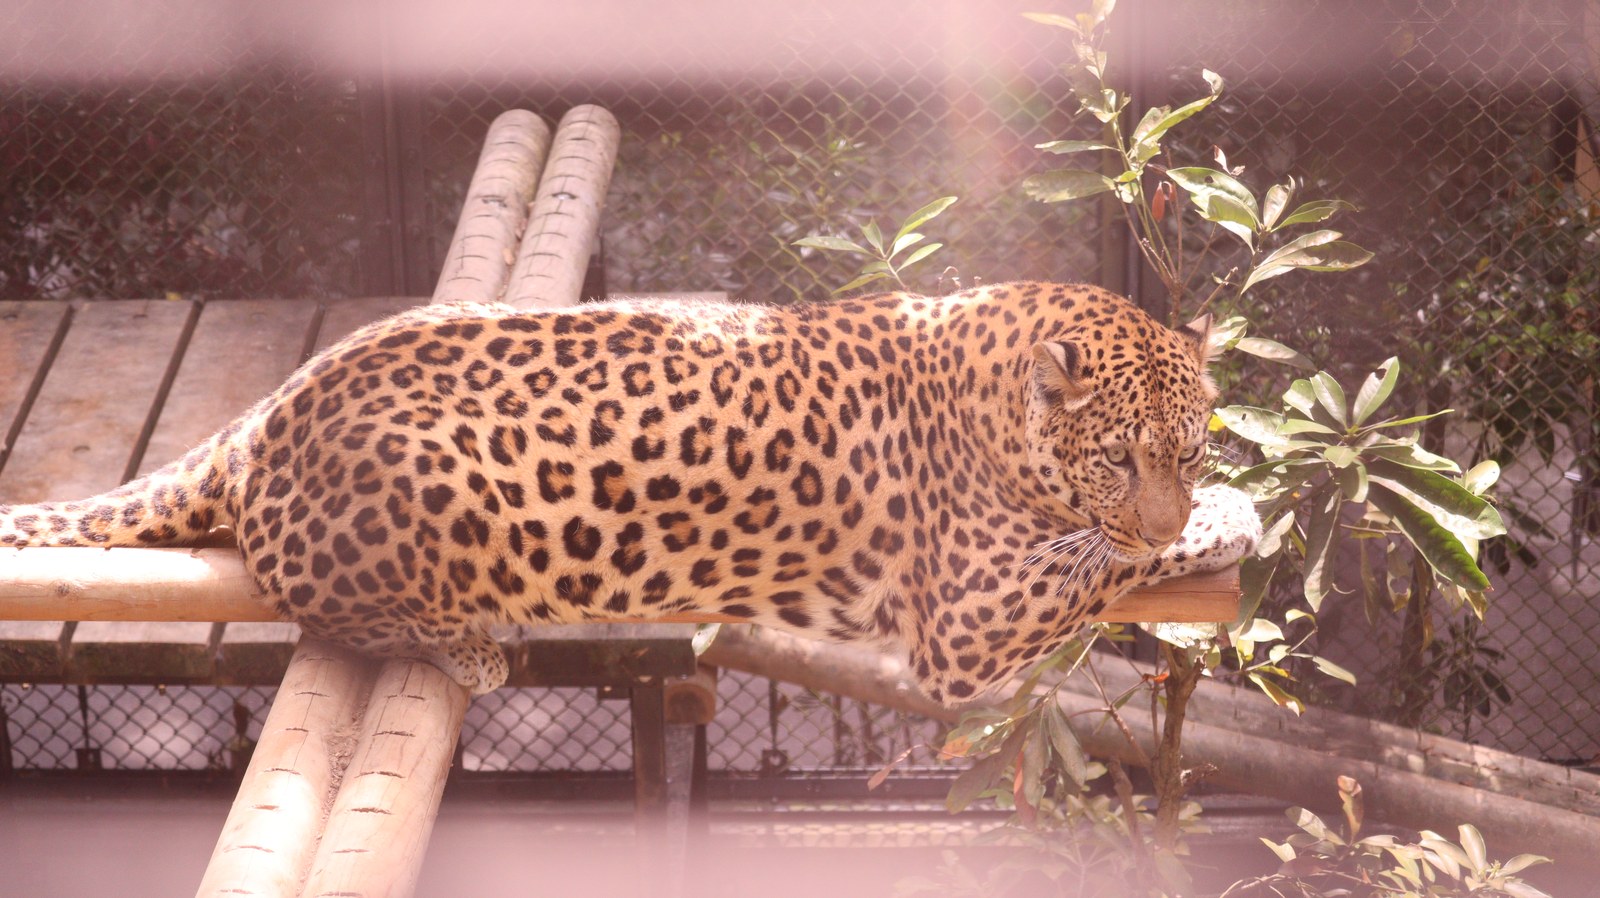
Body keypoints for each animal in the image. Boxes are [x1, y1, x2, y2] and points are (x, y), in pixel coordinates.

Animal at [0, 281, 1261, 704]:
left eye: (1187, 449)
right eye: (1117, 458)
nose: (1173, 497)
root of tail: (266, 411)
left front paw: (1223, 507)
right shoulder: (967, 618)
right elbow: (1106, 556)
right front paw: (1230, 520)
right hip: (432, 488)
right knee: (320, 600)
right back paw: (468, 646)